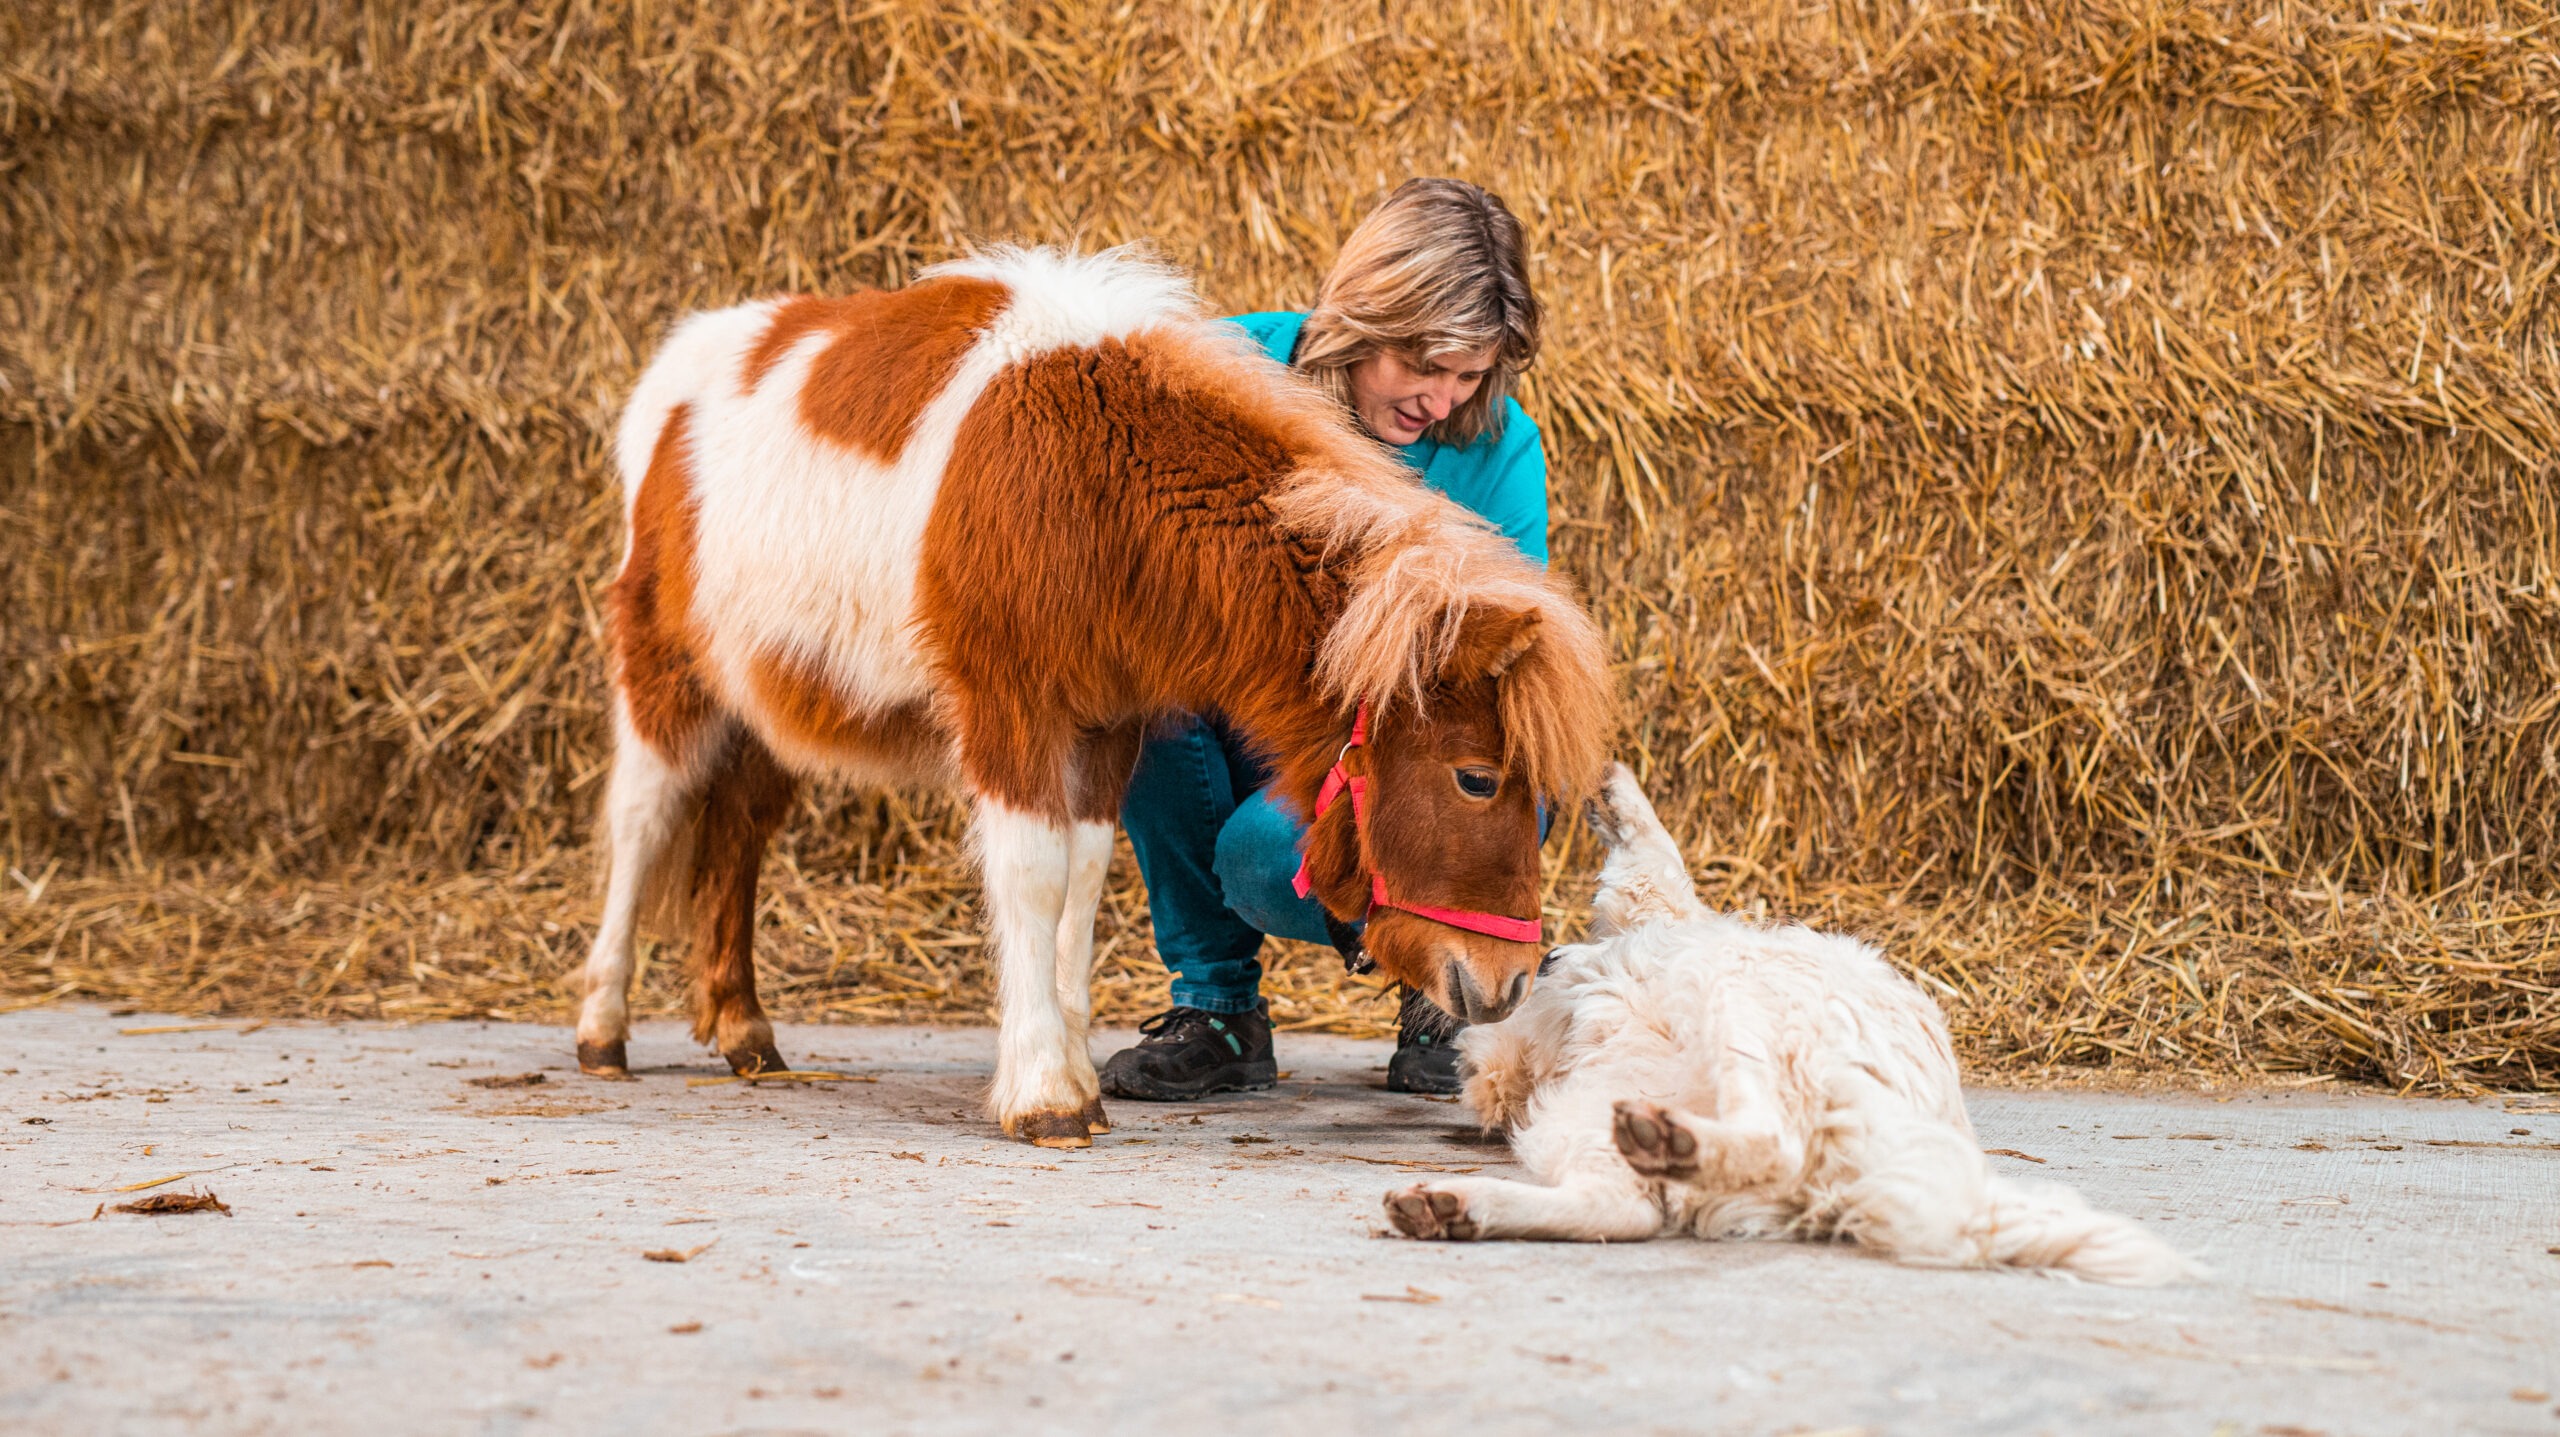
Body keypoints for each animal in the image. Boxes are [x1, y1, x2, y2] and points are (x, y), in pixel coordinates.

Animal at [575, 246, 1613, 1147]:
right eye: (1476, 777)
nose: (1508, 982)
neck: (1094, 479)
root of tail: (673, 373)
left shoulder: (1104, 726)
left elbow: (1078, 878)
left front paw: (1072, 1066)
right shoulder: (1015, 714)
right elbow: (1033, 879)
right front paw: (1043, 1094)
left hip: (764, 709)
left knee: (736, 841)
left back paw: (744, 1032)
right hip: (665, 681)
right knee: (641, 824)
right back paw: (603, 1030)